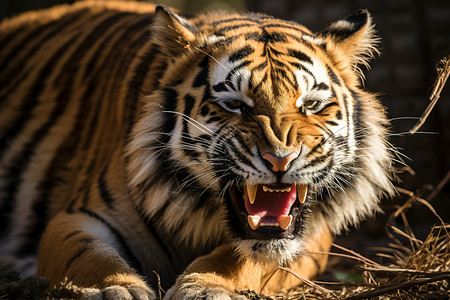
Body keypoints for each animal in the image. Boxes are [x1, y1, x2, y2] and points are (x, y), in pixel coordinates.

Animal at [0, 1, 394, 298]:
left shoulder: (310, 238)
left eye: (311, 105)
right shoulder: (77, 217)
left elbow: (241, 258)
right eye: (235, 105)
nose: (280, 160)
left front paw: (204, 287)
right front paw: (115, 289)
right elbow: (87, 255)